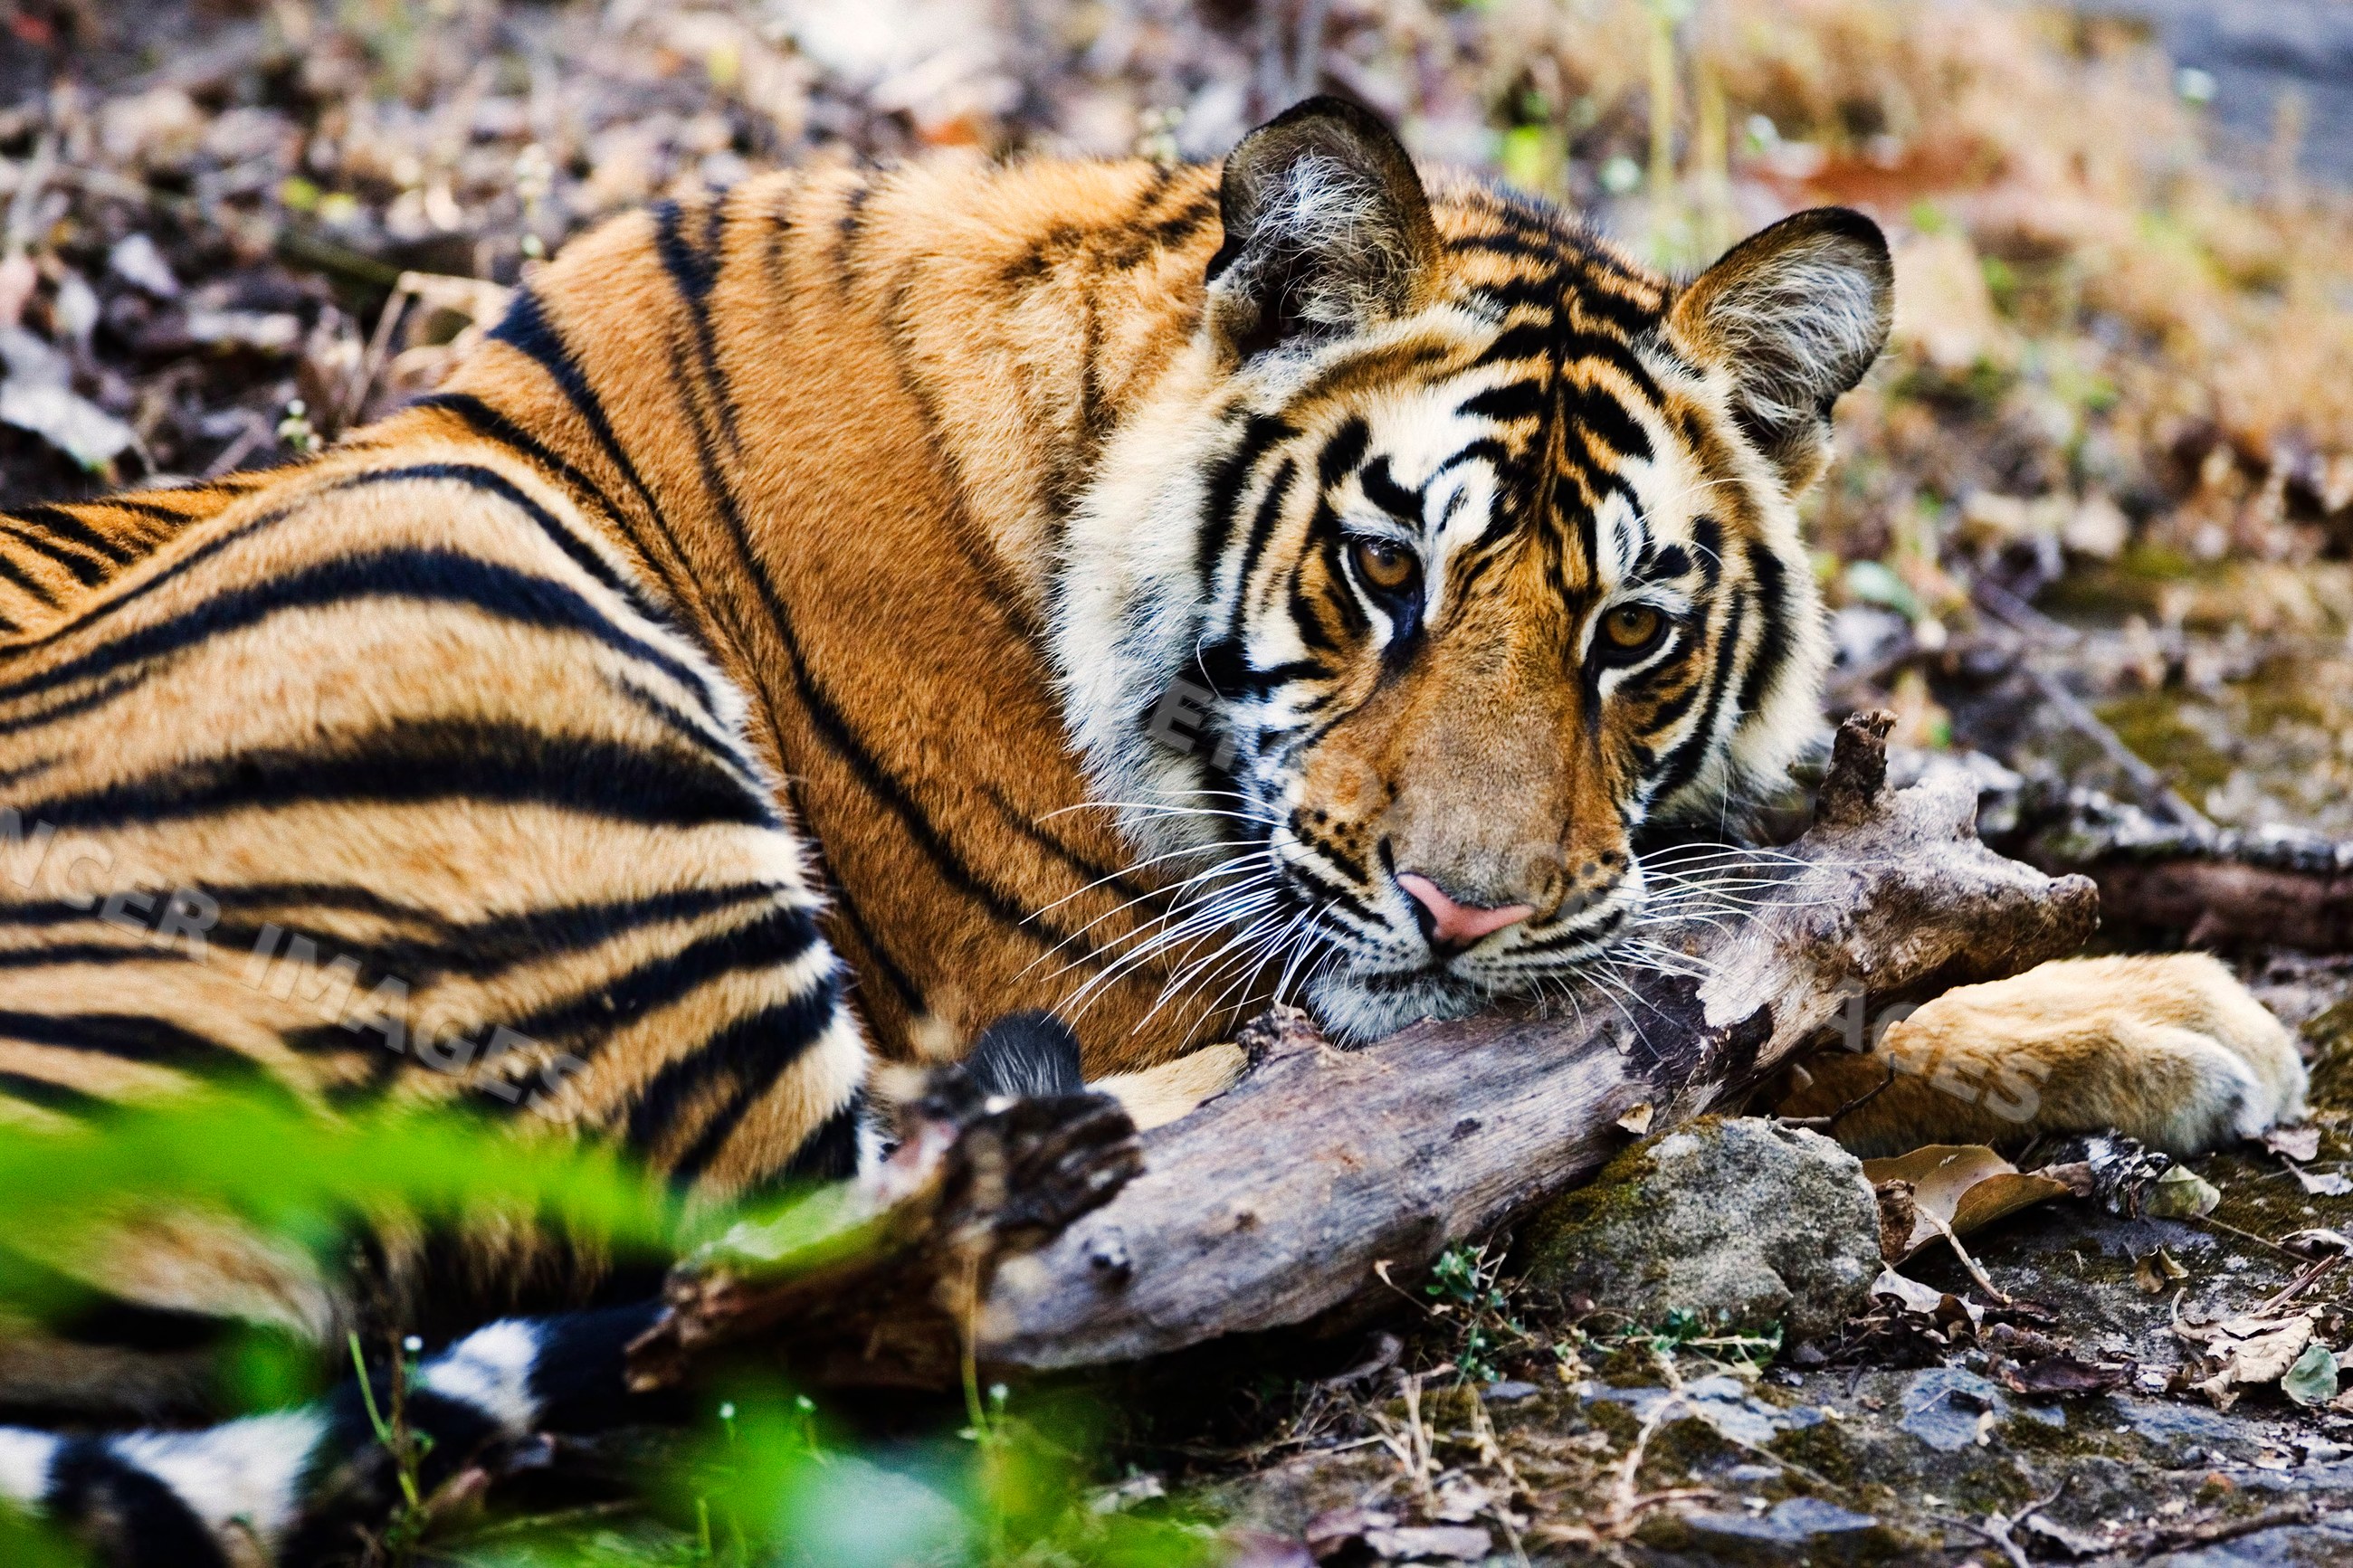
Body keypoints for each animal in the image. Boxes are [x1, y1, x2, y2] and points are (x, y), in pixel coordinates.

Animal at [0, 97, 2305, 1563]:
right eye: (1381, 571)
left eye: (1630, 629)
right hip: (477, 592)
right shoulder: (1148, 959)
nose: (1463, 909)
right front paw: (2183, 1004)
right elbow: (1736, 1009)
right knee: (870, 1263)